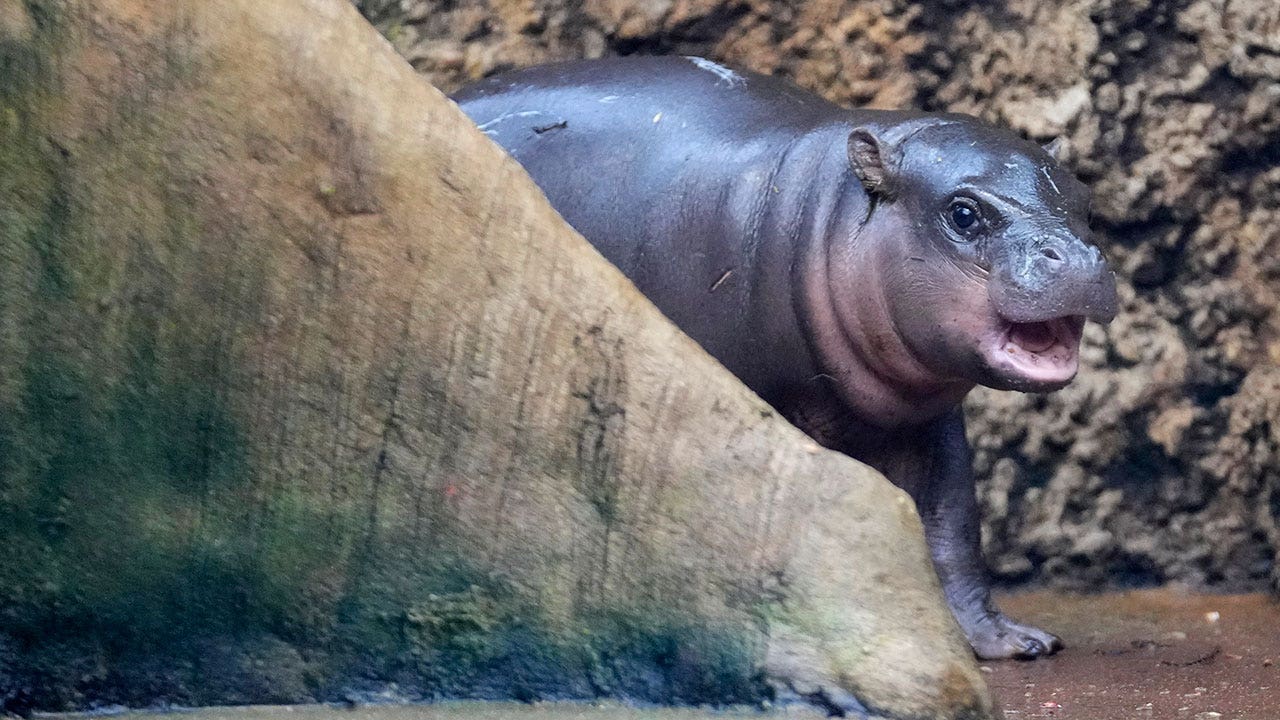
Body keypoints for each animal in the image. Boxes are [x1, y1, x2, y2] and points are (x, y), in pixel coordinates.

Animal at [455, 56, 1116, 661]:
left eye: (1085, 201)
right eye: (963, 212)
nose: (1081, 256)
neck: (821, 213)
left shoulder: (926, 420)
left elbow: (952, 524)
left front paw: (1009, 641)